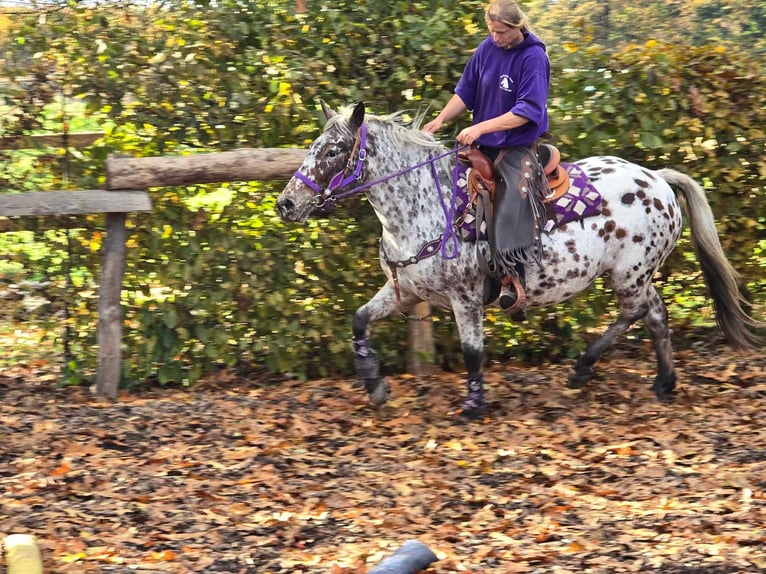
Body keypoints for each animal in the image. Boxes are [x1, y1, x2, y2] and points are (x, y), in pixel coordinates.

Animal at [276, 102, 760, 418]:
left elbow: (472, 352)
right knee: (653, 312)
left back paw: (600, 368)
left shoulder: (466, 297)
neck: (426, 204)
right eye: (315, 145)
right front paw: (375, 386)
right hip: (631, 275)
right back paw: (650, 380)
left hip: (630, 274)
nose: (286, 204)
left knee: (642, 310)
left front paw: (473, 405)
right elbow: (359, 320)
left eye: (334, 150)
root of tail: (658, 179)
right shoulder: (409, 291)